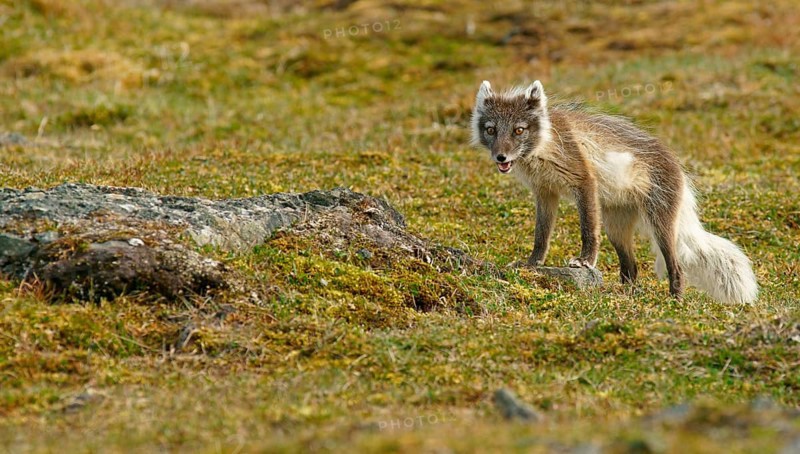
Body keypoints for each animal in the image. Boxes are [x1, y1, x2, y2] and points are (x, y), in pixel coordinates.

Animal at [471, 80, 758, 304]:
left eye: (519, 130)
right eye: (491, 129)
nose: (500, 157)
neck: (544, 144)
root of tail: (678, 166)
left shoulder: (584, 180)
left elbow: (587, 229)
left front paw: (585, 261)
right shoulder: (545, 193)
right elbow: (541, 236)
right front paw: (532, 264)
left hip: (660, 224)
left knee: (675, 267)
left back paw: (674, 302)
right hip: (615, 228)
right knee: (631, 268)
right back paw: (625, 296)